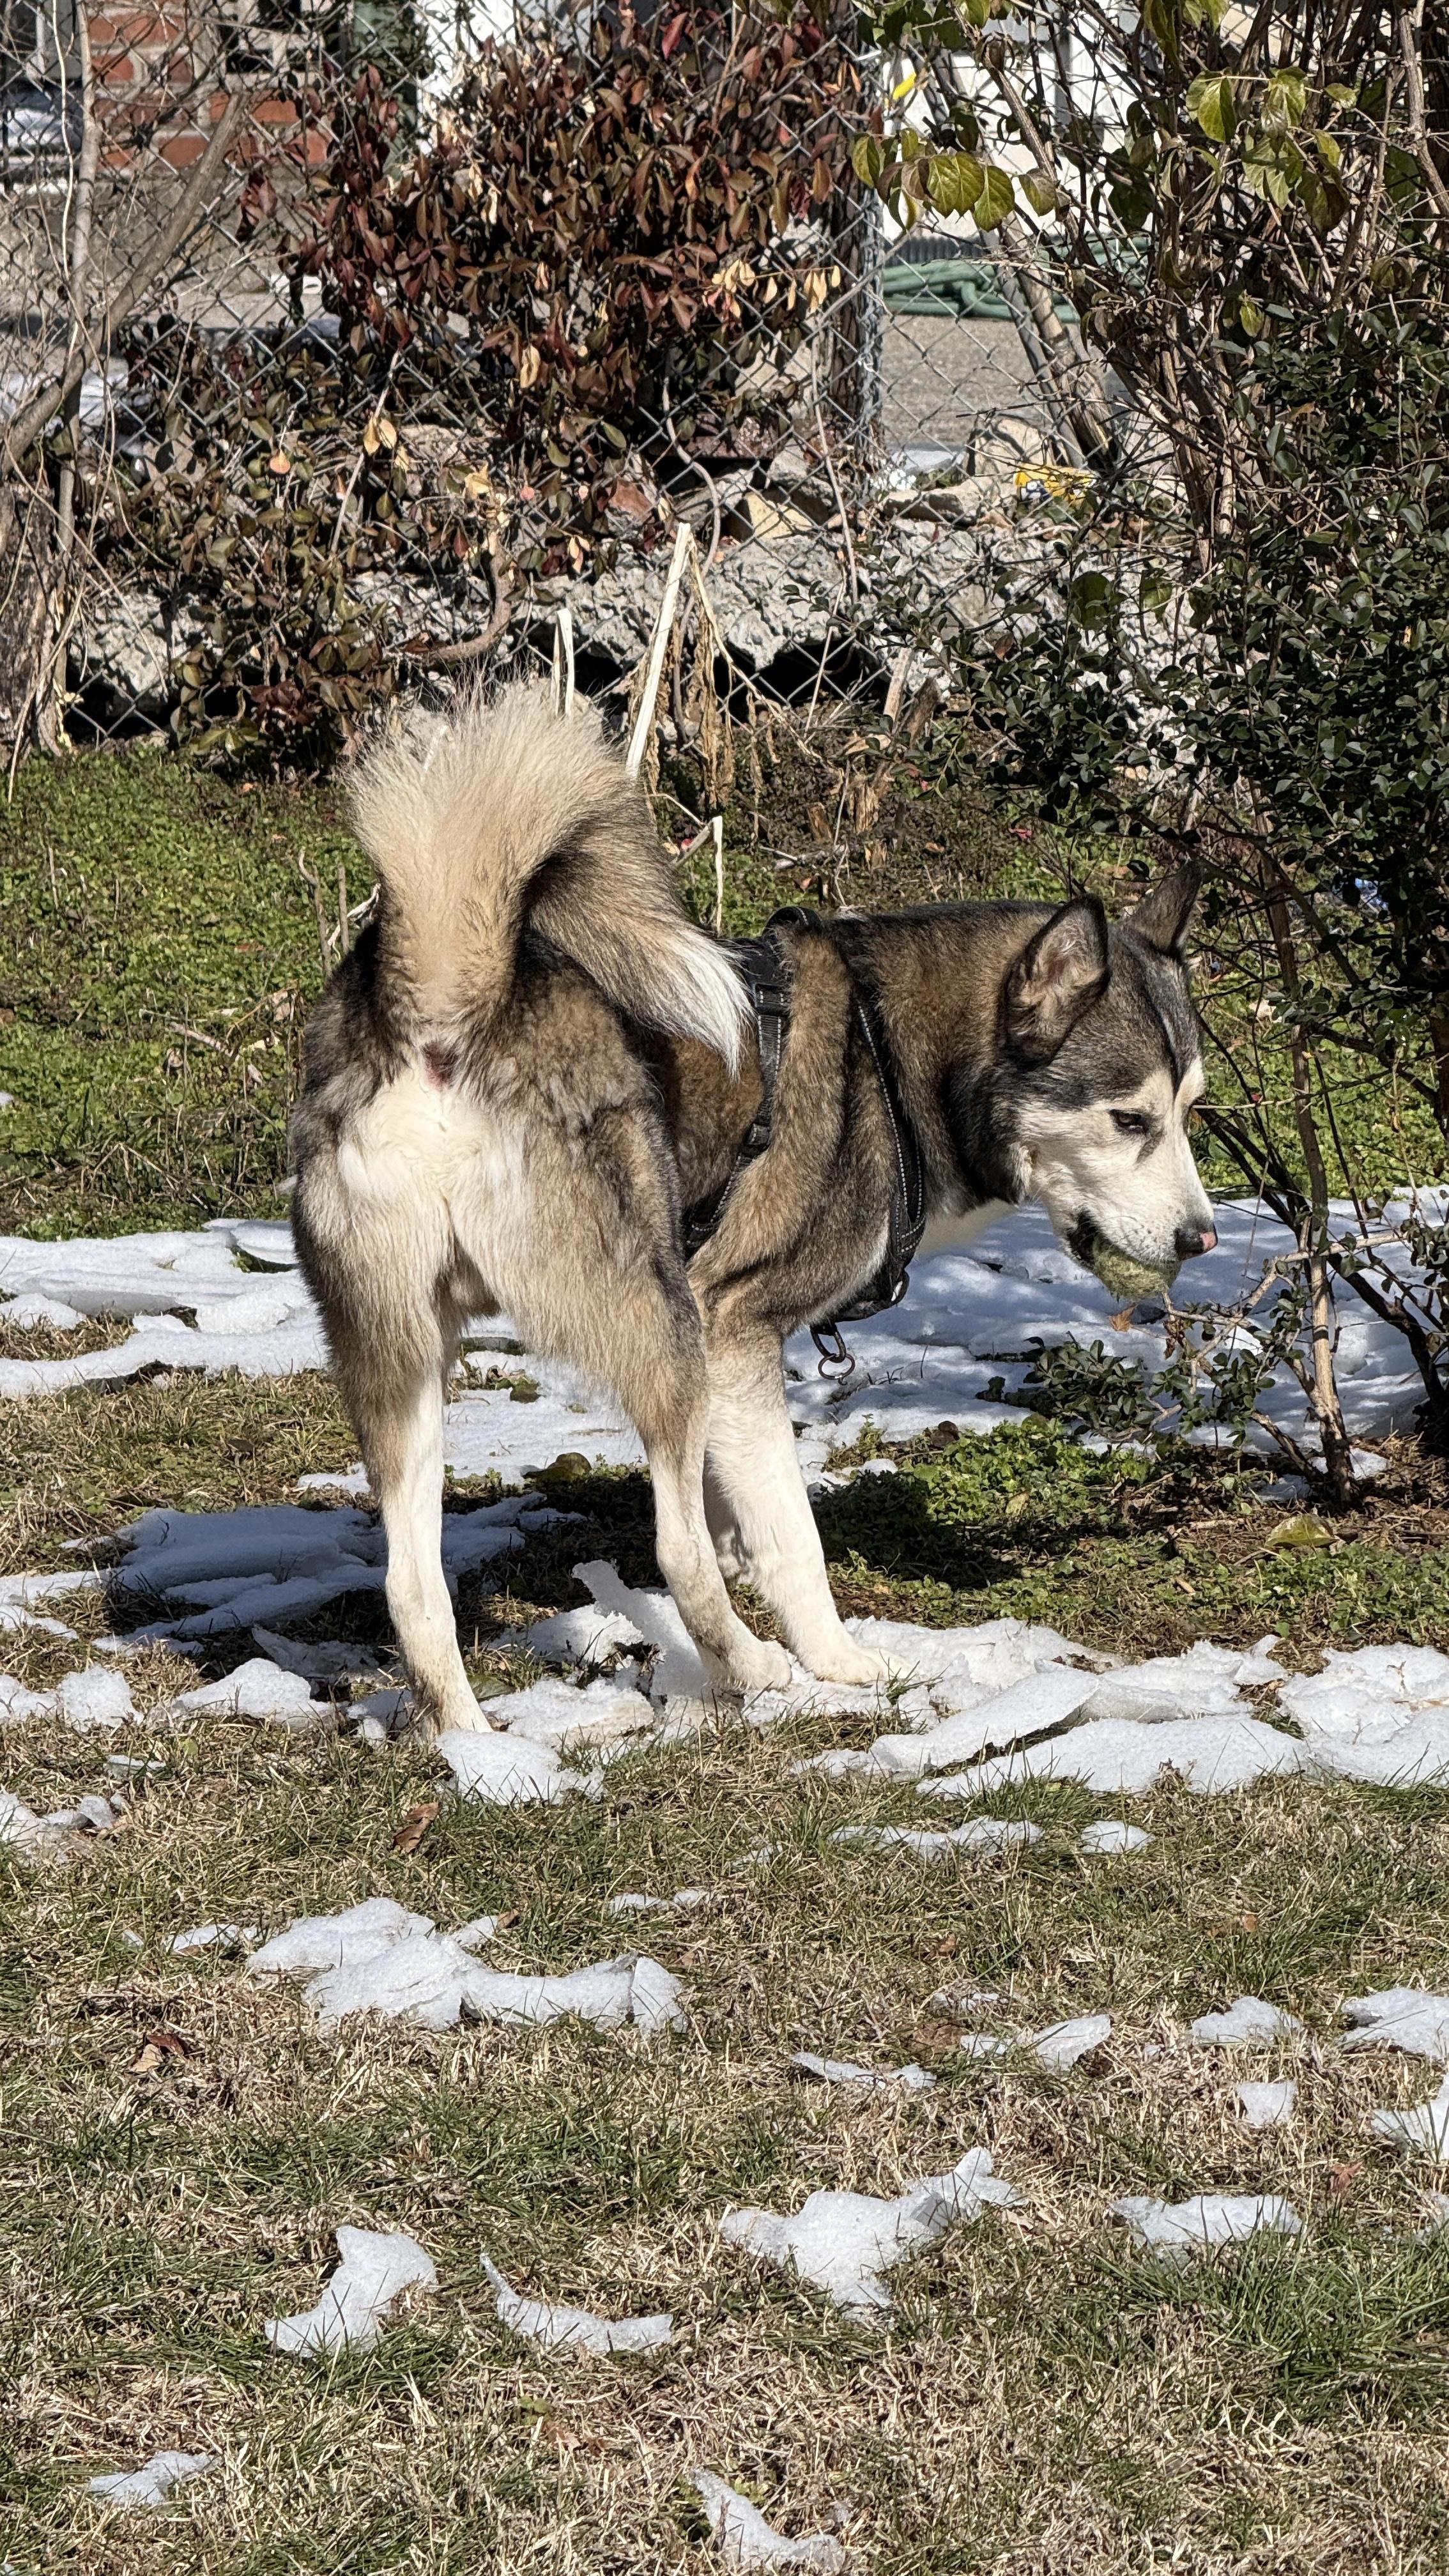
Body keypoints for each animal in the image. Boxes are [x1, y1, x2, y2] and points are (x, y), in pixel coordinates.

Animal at [290, 685, 1216, 1729]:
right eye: (1130, 1118)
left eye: (1192, 1108)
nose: (1201, 1237)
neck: (886, 1055)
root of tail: (454, 993)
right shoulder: (731, 1328)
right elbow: (789, 1536)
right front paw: (840, 1661)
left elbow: (739, 1506)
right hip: (663, 1330)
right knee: (672, 1550)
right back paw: (753, 1667)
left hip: (401, 1357)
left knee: (412, 1586)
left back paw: (475, 1745)